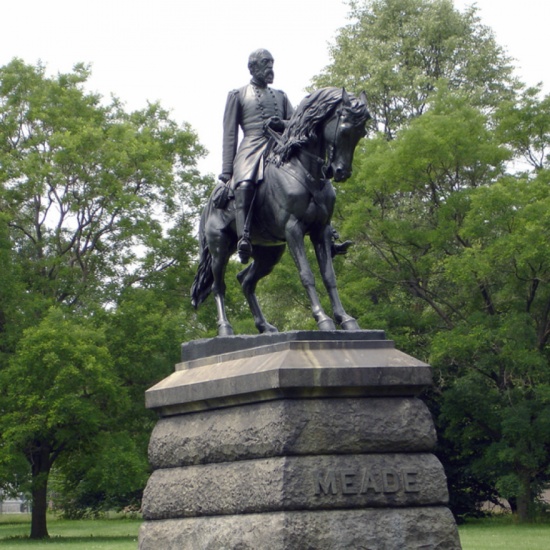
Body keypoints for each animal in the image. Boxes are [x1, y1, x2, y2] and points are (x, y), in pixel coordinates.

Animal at [192, 87, 374, 336]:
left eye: (362, 132)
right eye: (345, 129)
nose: (341, 172)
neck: (303, 168)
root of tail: (209, 205)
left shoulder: (320, 231)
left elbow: (329, 276)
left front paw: (345, 318)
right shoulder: (293, 229)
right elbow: (307, 275)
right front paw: (323, 319)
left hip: (269, 253)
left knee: (246, 281)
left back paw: (264, 326)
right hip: (220, 248)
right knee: (218, 286)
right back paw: (225, 329)